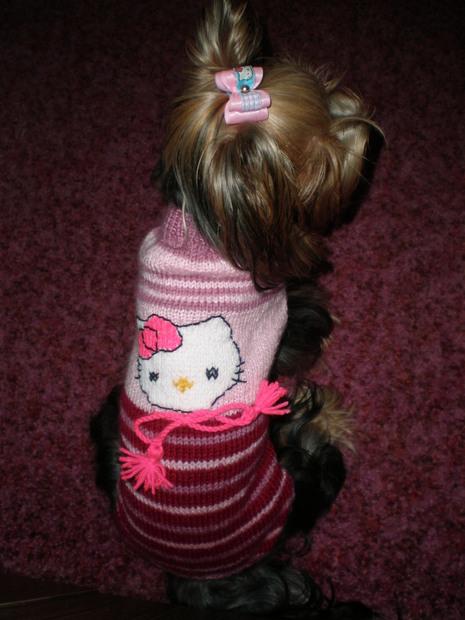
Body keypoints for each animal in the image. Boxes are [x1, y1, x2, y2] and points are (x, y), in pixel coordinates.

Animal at [91, 1, 380, 617]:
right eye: (328, 153)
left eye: (323, 88)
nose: (365, 127)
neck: (201, 227)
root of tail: (204, 576)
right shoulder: (278, 314)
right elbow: (304, 320)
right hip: (293, 481)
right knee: (318, 458)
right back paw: (327, 417)